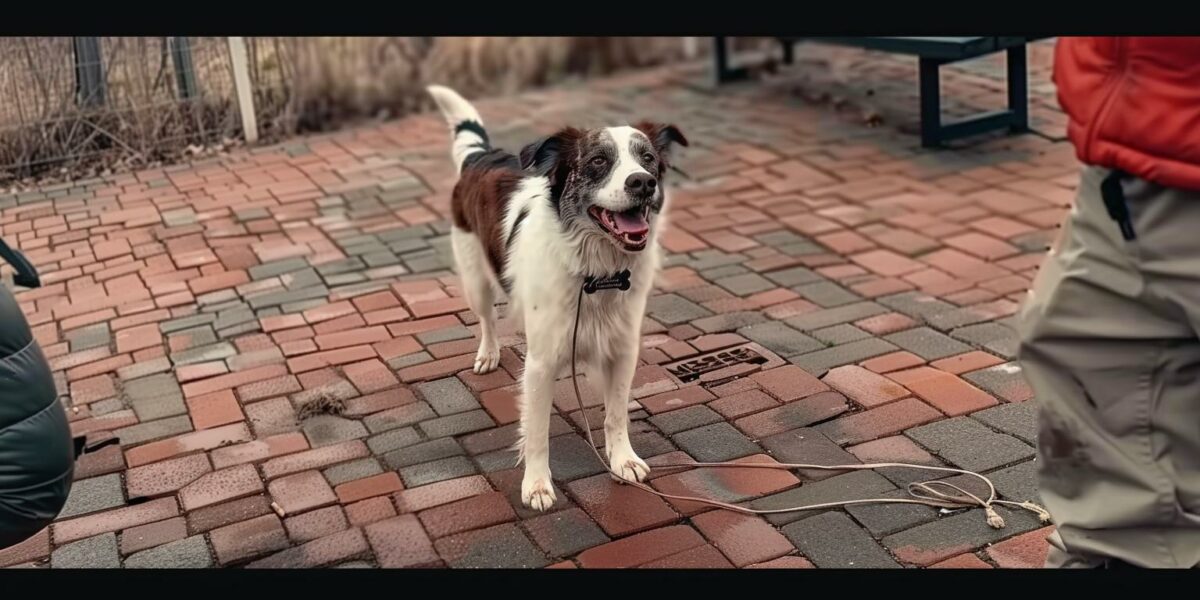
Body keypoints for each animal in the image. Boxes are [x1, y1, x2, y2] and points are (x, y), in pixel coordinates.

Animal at [429, 84, 691, 511]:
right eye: (599, 160)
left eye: (648, 159)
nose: (642, 183)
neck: (596, 273)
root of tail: (481, 156)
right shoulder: (540, 364)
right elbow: (537, 432)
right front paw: (536, 484)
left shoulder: (623, 351)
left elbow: (616, 414)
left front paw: (622, 459)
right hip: (475, 279)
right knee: (487, 318)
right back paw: (488, 354)